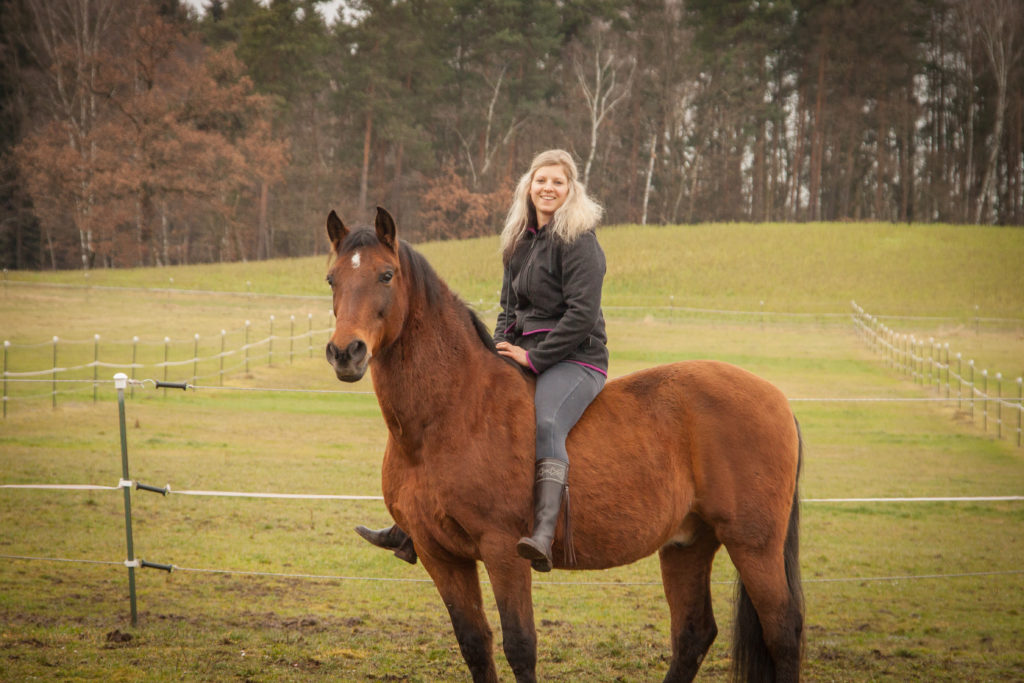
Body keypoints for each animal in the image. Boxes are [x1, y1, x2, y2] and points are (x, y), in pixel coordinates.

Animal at [323, 208, 802, 683]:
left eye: (386, 275)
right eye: (331, 278)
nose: (346, 352)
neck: (452, 412)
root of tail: (777, 397)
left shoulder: (503, 551)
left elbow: (520, 646)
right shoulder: (439, 554)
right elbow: (475, 645)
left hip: (753, 546)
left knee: (783, 633)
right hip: (687, 545)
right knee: (693, 634)